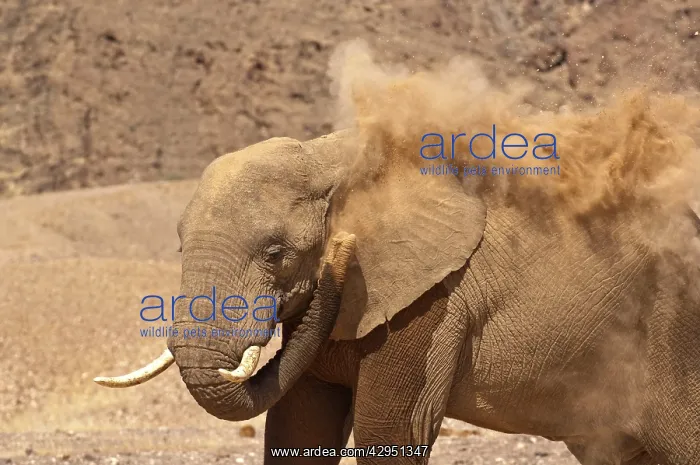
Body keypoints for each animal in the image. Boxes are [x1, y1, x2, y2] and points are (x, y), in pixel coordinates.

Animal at [95, 129, 700, 465]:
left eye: (275, 252)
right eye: (178, 244)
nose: (339, 252)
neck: (330, 156)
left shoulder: (433, 302)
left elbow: (391, 432)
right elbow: (298, 425)